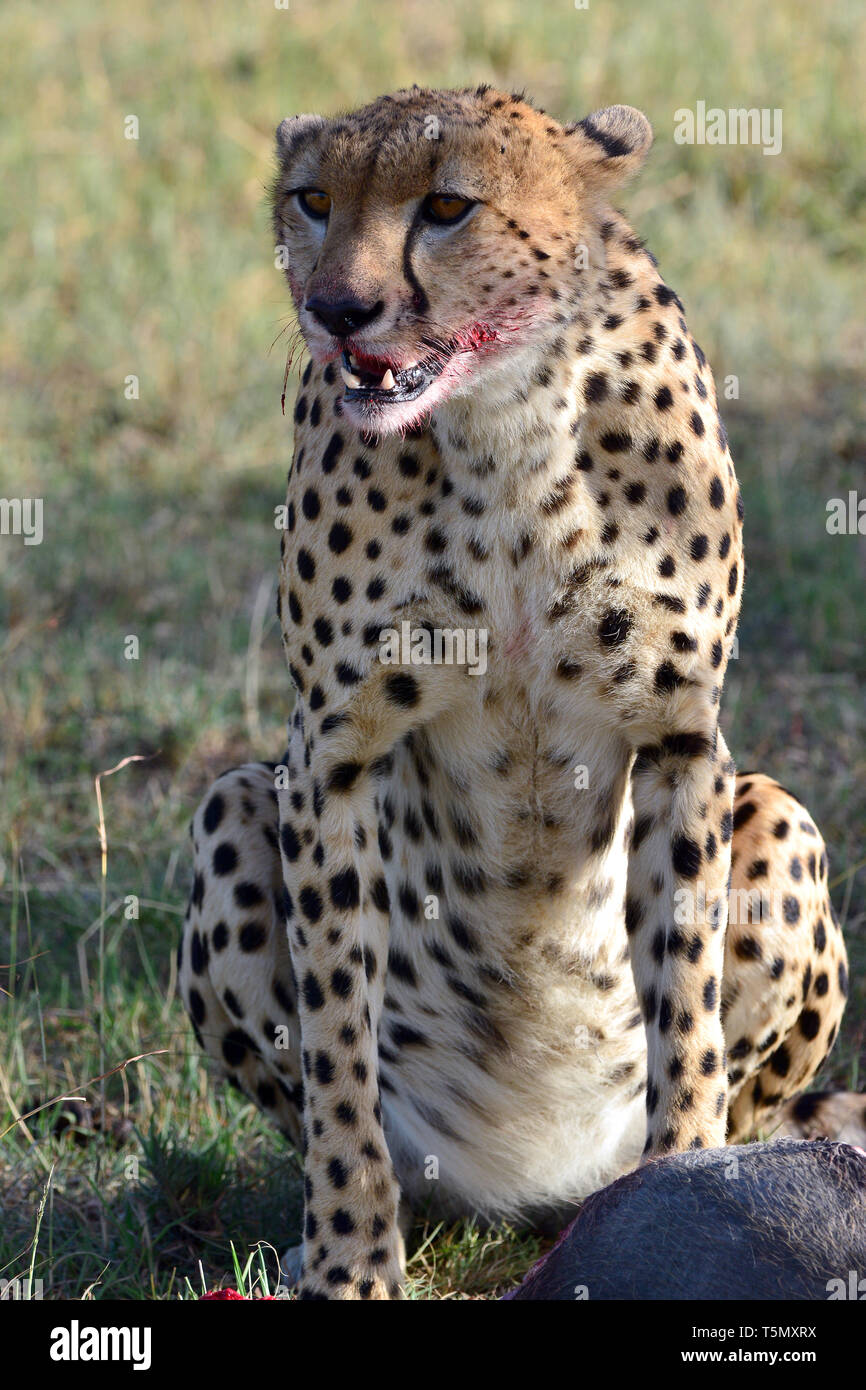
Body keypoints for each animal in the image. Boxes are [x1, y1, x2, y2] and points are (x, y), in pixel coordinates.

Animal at [177, 89, 861, 1301]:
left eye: (447, 206)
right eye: (313, 199)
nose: (336, 311)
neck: (505, 420)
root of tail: (531, 1179)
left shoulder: (682, 740)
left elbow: (686, 1017)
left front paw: (682, 1192)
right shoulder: (329, 756)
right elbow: (337, 1056)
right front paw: (350, 1259)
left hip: (778, 815)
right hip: (234, 807)